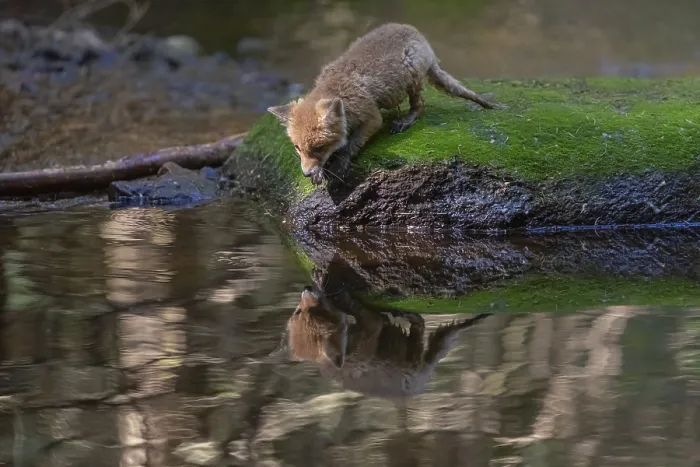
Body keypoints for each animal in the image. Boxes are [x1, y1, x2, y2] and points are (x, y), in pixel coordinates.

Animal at [267, 22, 496, 186]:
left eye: (318, 148)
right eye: (298, 148)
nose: (305, 174)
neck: (340, 88)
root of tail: (416, 33)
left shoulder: (372, 117)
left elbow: (352, 144)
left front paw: (340, 162)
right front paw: (321, 172)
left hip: (412, 75)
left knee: (420, 105)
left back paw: (405, 120)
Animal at [272, 280, 492, 399]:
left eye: (297, 311)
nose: (307, 287)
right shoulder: (372, 326)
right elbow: (363, 311)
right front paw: (347, 299)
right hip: (417, 365)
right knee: (428, 332)